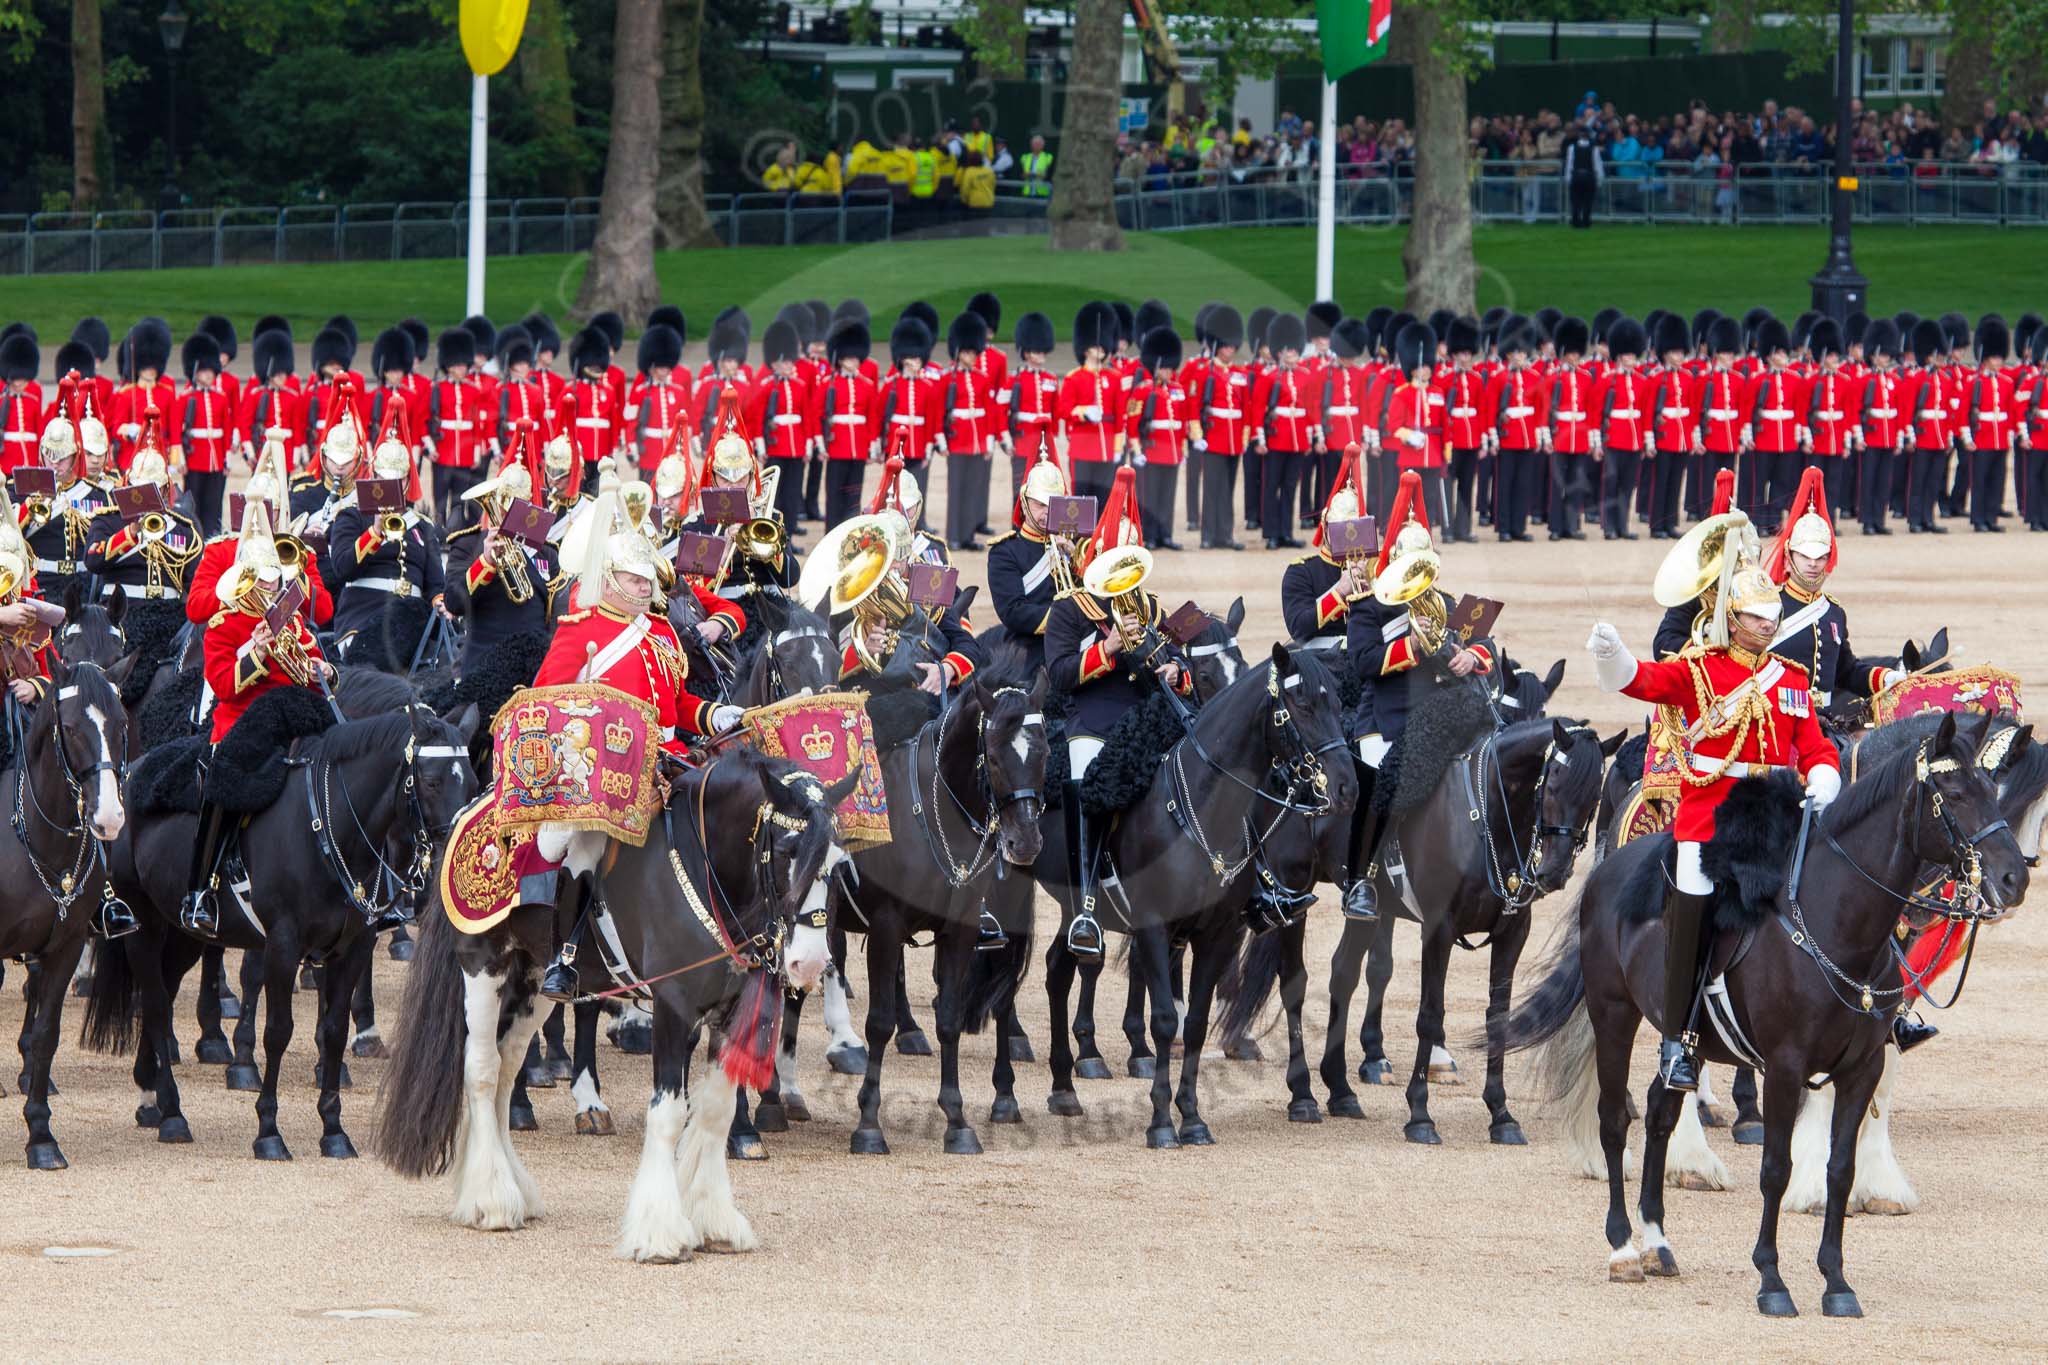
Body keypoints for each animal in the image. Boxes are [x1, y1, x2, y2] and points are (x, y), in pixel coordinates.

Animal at [89, 703, 475, 1162]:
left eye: (472, 783)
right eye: (431, 782)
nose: (454, 853)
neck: (329, 827)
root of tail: (131, 774)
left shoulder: (353, 948)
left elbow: (334, 1031)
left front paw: (333, 1130)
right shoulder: (283, 946)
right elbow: (277, 1032)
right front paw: (269, 1130)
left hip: (182, 934)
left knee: (160, 995)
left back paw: (151, 1096)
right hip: (144, 925)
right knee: (157, 1005)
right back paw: (173, 1114)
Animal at [380, 749, 851, 1260]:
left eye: (838, 861)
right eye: (786, 851)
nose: (809, 961)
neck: (702, 867)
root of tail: (468, 812)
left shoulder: (727, 1012)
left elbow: (716, 1112)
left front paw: (714, 1220)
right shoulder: (673, 1008)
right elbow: (667, 1114)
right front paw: (660, 1231)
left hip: (532, 984)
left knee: (506, 1069)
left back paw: (513, 1190)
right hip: (483, 966)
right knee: (482, 1071)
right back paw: (491, 1200)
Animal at [1507, 712, 2031, 1317]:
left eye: (1993, 789)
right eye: (1955, 793)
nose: (2016, 878)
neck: (1837, 921)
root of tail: (1609, 869)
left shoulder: (1862, 1069)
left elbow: (1840, 1169)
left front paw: (1836, 1281)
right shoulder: (1784, 1068)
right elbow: (1776, 1169)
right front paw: (1772, 1279)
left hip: (1680, 1037)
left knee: (1662, 1111)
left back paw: (1658, 1240)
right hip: (1613, 1014)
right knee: (1615, 1121)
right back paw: (1623, 1248)